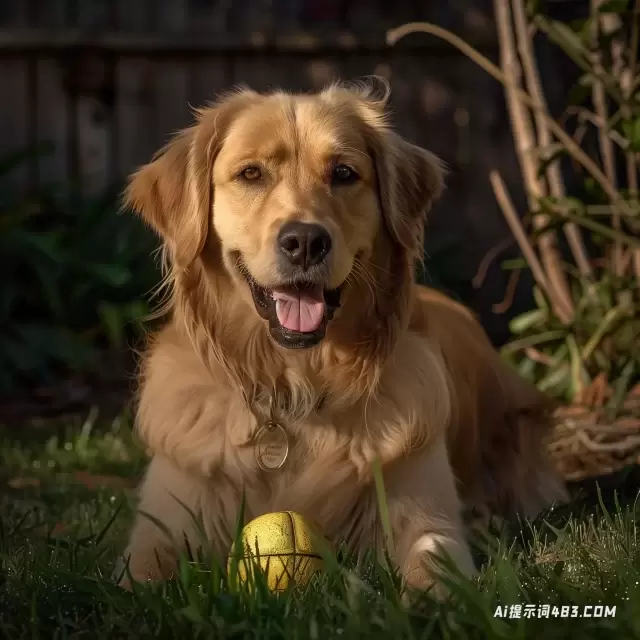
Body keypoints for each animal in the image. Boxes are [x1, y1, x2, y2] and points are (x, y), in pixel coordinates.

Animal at [119, 82, 564, 596]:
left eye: (344, 173)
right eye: (251, 173)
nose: (305, 242)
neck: (295, 389)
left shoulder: (425, 515)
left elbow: (434, 565)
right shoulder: (161, 525)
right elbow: (139, 578)